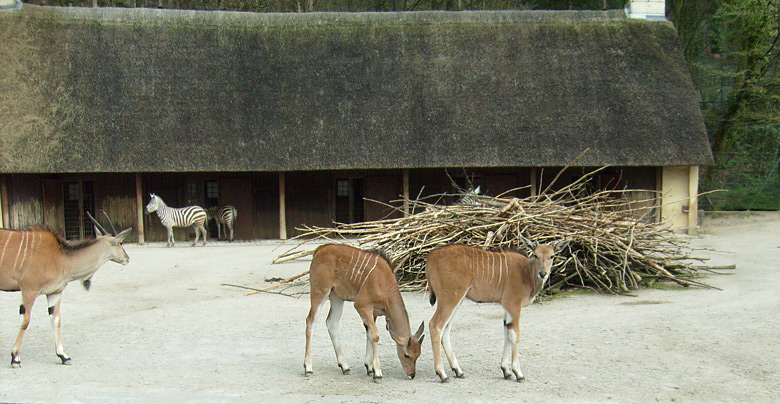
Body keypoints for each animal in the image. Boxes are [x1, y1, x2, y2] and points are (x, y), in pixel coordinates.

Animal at [0, 213, 131, 368]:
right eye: (120, 243)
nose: (127, 258)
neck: (60, 258)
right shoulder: (29, 290)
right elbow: (25, 321)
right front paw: (15, 358)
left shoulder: (54, 292)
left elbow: (56, 320)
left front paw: (63, 356)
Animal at [306, 243, 426, 382]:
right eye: (406, 355)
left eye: (418, 354)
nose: (412, 374)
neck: (384, 281)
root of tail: (319, 250)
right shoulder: (362, 306)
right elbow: (375, 335)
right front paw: (377, 372)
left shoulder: (373, 312)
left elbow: (369, 333)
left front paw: (369, 368)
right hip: (320, 292)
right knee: (311, 321)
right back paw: (308, 368)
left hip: (337, 297)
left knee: (332, 323)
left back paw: (345, 366)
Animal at [426, 241, 560, 384]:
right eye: (536, 255)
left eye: (551, 256)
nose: (543, 273)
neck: (526, 271)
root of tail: (431, 257)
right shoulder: (513, 305)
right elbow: (514, 334)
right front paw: (518, 373)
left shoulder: (507, 308)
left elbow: (507, 331)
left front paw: (506, 371)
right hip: (450, 298)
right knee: (435, 325)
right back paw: (442, 374)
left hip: (457, 300)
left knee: (446, 329)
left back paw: (458, 371)